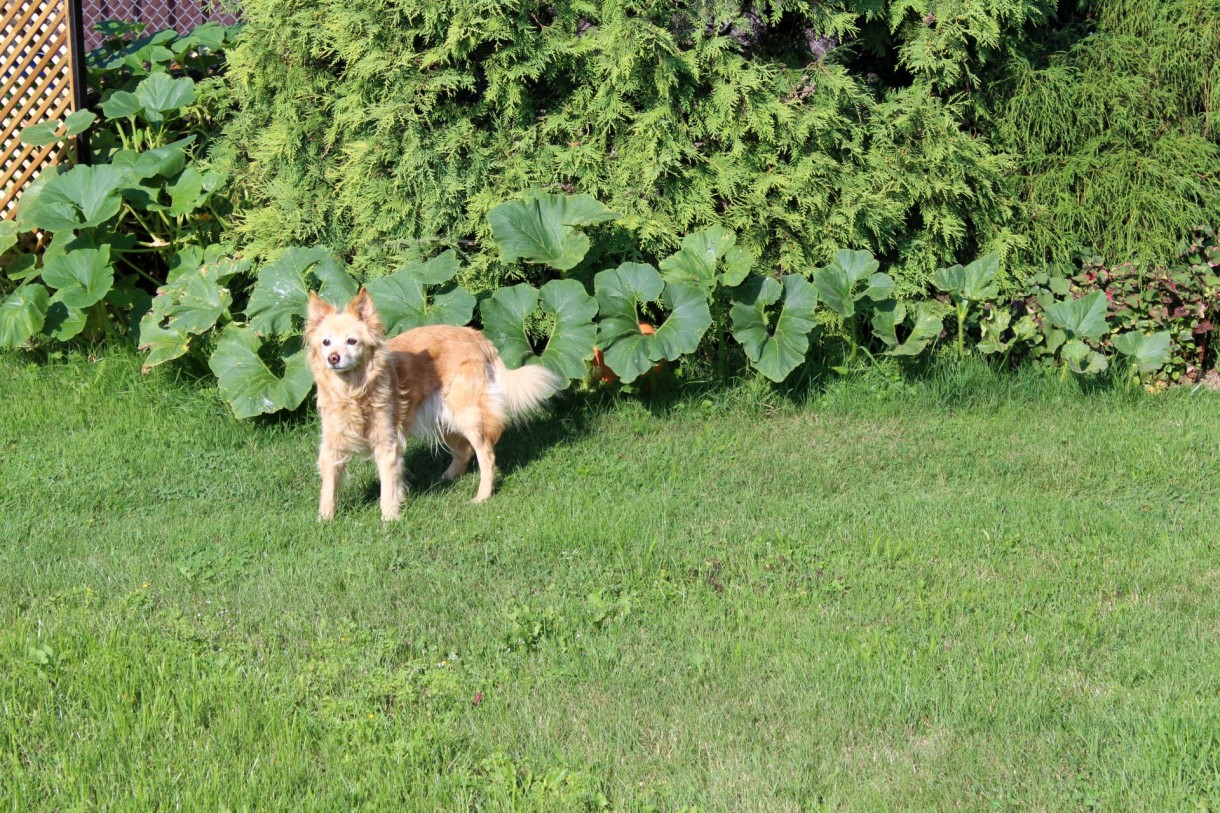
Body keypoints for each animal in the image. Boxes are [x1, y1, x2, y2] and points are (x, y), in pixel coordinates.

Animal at [303, 289, 558, 520]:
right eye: (326, 342)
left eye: (352, 341)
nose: (333, 358)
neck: (353, 392)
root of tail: (478, 336)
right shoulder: (331, 446)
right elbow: (329, 486)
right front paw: (325, 519)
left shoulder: (387, 444)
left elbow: (388, 486)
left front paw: (389, 518)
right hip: (442, 418)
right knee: (464, 451)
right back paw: (446, 479)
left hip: (468, 416)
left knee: (486, 455)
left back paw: (481, 497)